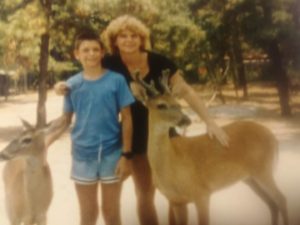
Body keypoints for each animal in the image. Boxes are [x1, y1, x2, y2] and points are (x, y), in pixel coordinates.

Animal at [134, 71, 288, 225]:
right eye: (161, 105)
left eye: (178, 104)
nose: (186, 120)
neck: (171, 164)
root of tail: (273, 138)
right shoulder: (175, 201)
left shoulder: (202, 193)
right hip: (250, 177)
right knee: (272, 204)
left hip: (263, 170)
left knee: (281, 199)